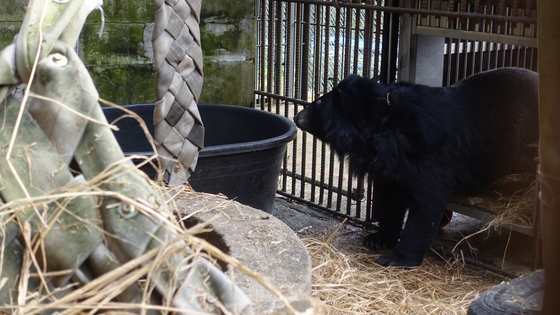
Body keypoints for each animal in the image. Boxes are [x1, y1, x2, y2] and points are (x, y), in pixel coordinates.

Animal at [294, 68, 540, 268]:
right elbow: (391, 200)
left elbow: (427, 204)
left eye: (316, 105)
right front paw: (377, 239)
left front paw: (396, 259)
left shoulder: (429, 154)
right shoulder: (392, 164)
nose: (296, 117)